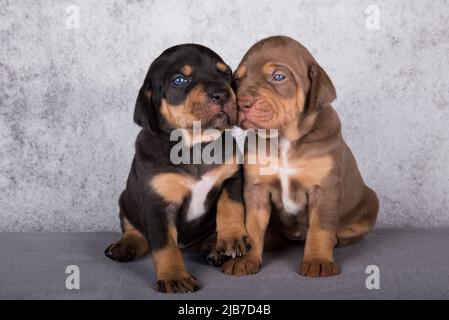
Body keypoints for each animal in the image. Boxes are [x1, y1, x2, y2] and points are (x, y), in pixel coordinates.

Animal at [105, 44, 248, 292]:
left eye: (225, 74)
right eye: (180, 80)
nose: (222, 94)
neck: (195, 145)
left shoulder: (231, 178)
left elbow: (231, 207)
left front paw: (232, 237)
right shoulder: (157, 204)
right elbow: (165, 246)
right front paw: (175, 277)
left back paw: (213, 246)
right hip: (125, 199)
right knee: (134, 231)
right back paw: (125, 246)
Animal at [221, 36, 378, 278]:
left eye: (278, 77)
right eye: (238, 80)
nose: (242, 103)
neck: (284, 139)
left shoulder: (325, 189)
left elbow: (320, 229)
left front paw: (318, 260)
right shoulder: (256, 189)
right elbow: (252, 225)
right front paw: (247, 259)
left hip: (371, 201)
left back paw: (336, 240)